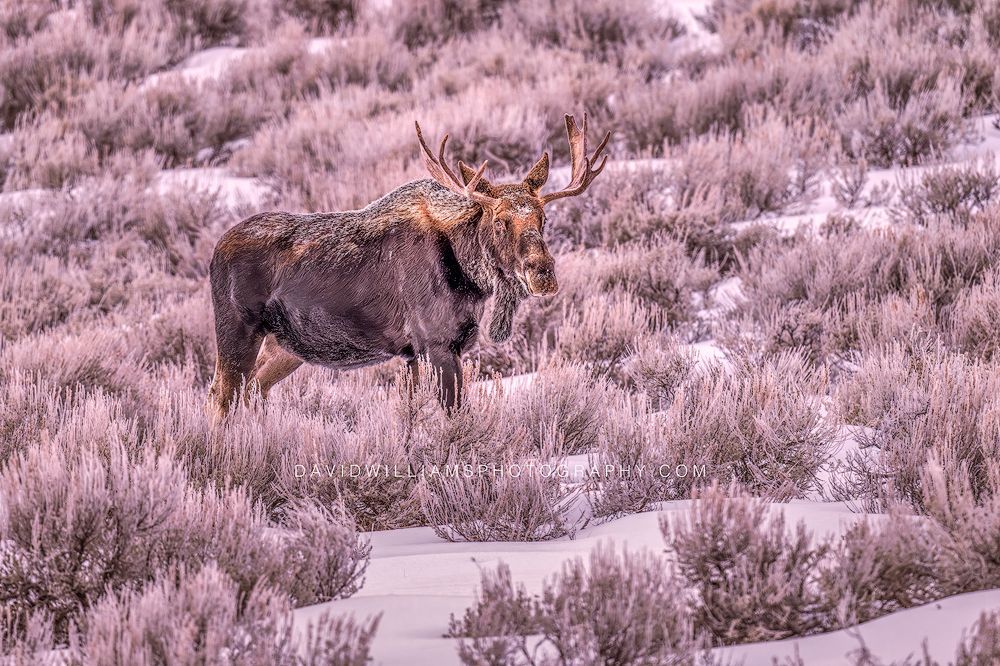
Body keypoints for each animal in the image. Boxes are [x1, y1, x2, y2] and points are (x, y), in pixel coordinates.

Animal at [206, 114, 610, 420]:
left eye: (543, 218)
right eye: (499, 222)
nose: (543, 273)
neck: (468, 276)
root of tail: (215, 251)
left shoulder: (416, 354)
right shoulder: (437, 344)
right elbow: (456, 418)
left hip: (284, 348)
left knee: (249, 391)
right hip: (237, 329)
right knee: (222, 398)